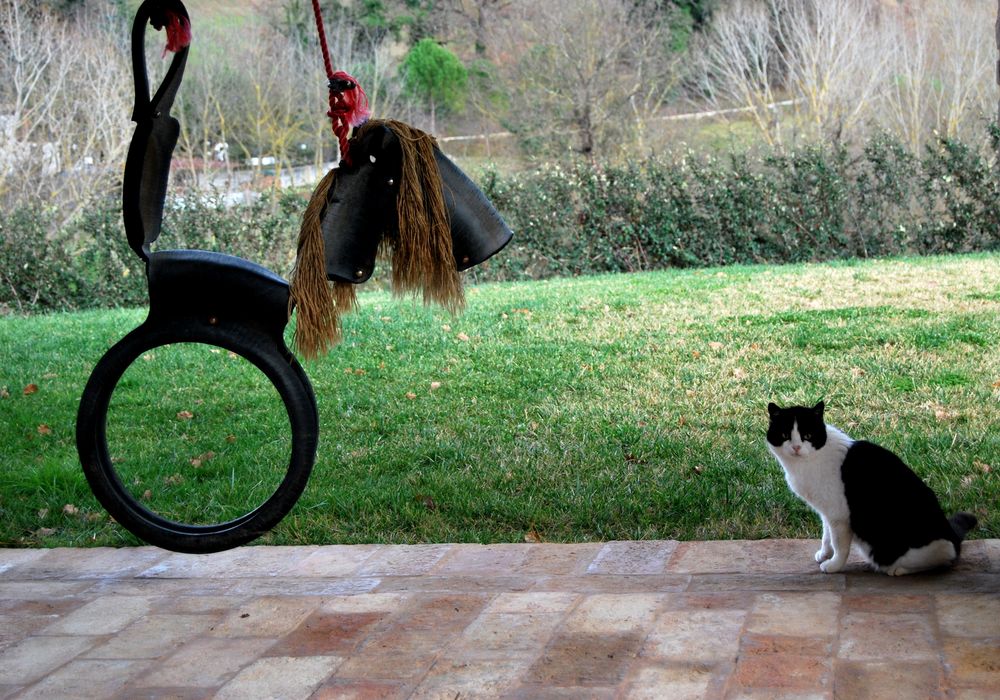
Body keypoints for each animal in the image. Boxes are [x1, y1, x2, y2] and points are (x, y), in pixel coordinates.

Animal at [764, 402, 976, 576]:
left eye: (807, 435)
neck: (805, 464)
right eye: (785, 435)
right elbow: (826, 537)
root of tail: (953, 535)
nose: (796, 447)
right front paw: (824, 554)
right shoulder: (827, 512)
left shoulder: (840, 517)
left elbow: (840, 545)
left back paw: (898, 570)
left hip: (921, 550)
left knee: (942, 560)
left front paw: (833, 565)